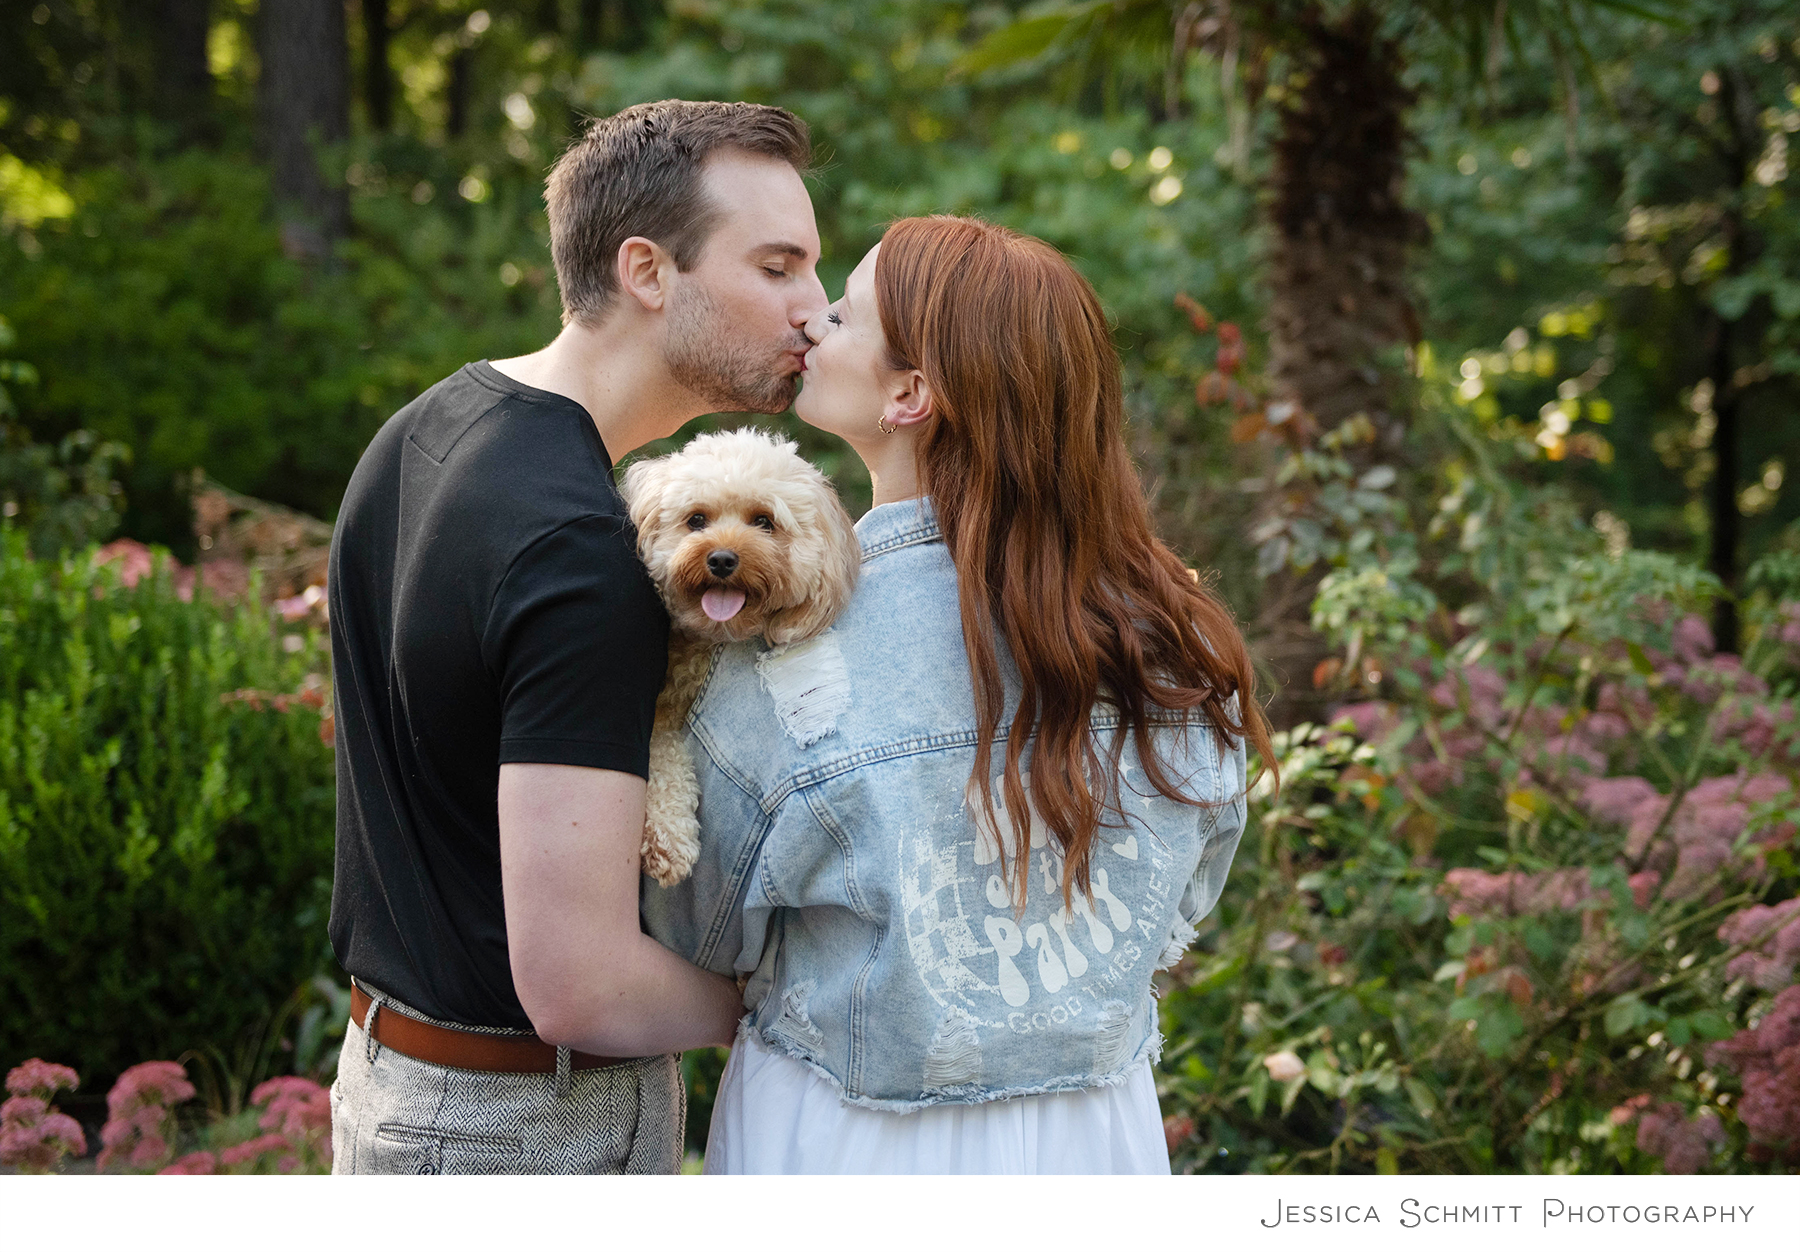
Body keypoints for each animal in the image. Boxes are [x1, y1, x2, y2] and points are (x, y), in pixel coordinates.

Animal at [622, 429, 860, 888]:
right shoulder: (658, 717)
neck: (707, 639)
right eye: (696, 519)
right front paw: (669, 838)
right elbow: (661, 755)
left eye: (764, 521)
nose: (721, 559)